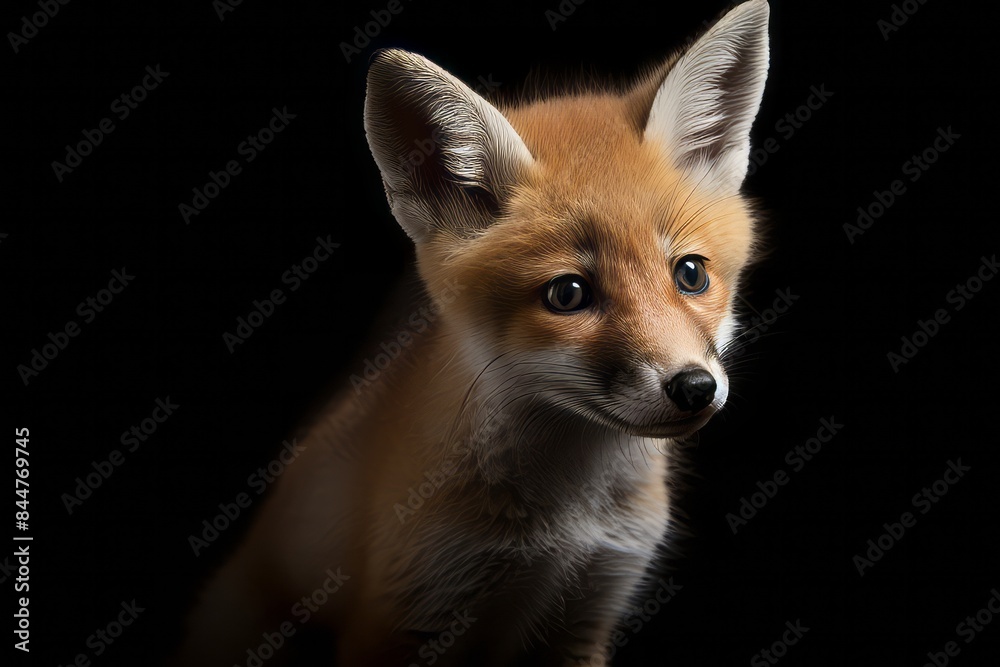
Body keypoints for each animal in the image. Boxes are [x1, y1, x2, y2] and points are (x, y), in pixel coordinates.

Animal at [174, 1, 770, 664]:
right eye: (568, 295)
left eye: (690, 274)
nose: (694, 387)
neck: (568, 521)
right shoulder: (405, 616)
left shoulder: (589, 612)